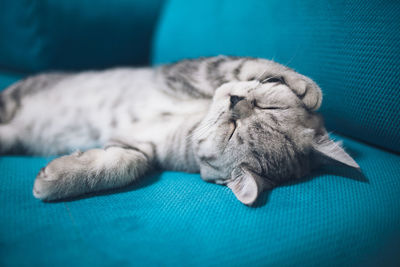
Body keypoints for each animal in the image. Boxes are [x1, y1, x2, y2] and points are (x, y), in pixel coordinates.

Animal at [0, 56, 358, 206]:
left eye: (232, 131)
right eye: (270, 108)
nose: (236, 101)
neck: (196, 117)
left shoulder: (135, 145)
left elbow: (122, 164)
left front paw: (54, 180)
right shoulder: (195, 70)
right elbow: (248, 64)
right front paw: (306, 88)